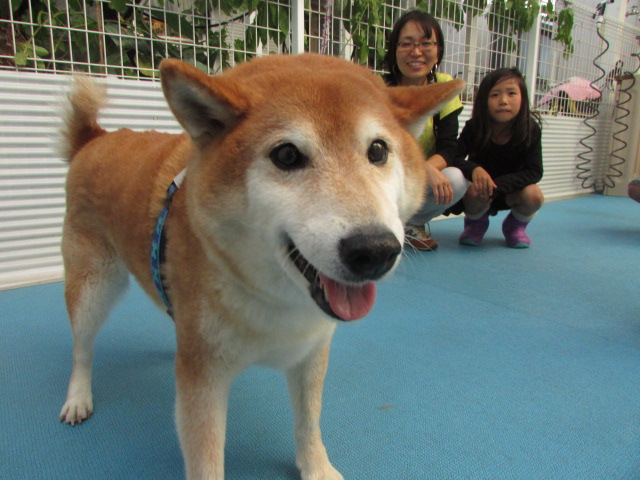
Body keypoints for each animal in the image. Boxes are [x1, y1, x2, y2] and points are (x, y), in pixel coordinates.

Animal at [58, 55, 460, 480]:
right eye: (287, 156)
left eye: (378, 150)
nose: (375, 250)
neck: (277, 300)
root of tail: (96, 138)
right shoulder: (204, 380)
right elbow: (206, 462)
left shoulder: (311, 352)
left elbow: (308, 423)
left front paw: (316, 468)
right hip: (93, 287)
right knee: (82, 348)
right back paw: (78, 397)